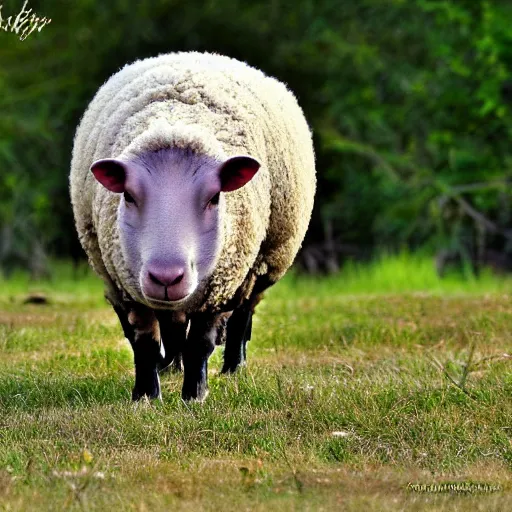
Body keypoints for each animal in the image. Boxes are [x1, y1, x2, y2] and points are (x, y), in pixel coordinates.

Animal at [69, 53, 316, 404]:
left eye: (215, 197)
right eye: (128, 195)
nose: (166, 276)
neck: (178, 115)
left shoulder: (222, 286)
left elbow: (201, 342)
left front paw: (194, 395)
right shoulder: (121, 285)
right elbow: (143, 341)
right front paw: (146, 396)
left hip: (261, 264)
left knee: (243, 315)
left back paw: (233, 367)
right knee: (173, 326)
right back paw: (171, 365)